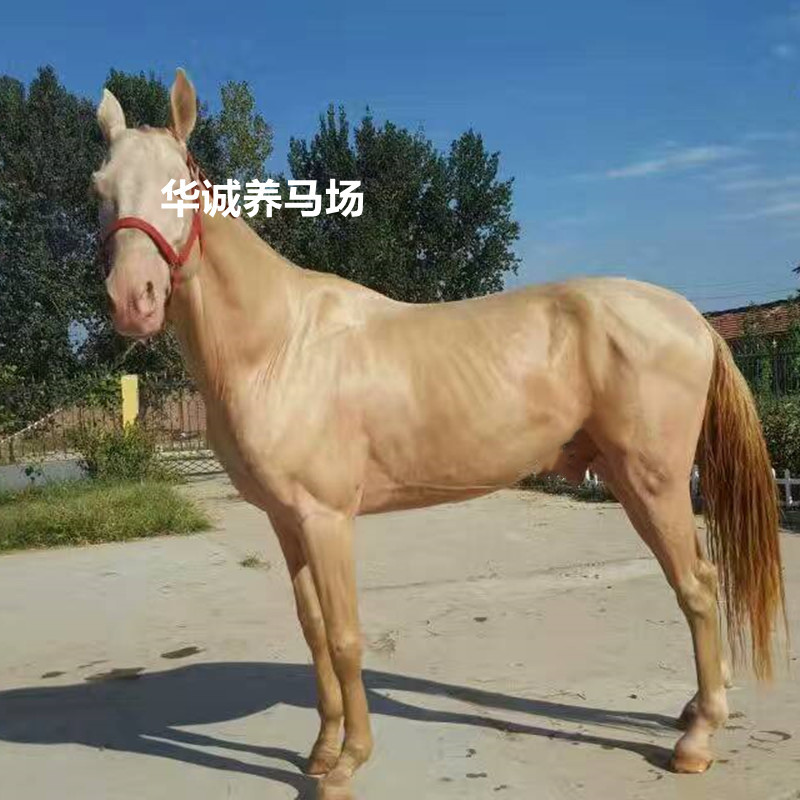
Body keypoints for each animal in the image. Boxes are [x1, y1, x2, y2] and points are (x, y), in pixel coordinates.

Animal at [94, 69, 785, 800]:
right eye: (99, 187)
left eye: (179, 184)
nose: (132, 301)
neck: (281, 344)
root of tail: (688, 316)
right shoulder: (288, 522)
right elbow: (313, 632)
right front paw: (319, 751)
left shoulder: (327, 519)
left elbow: (344, 636)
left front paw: (348, 762)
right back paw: (697, 708)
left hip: (652, 482)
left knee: (698, 588)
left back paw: (696, 740)